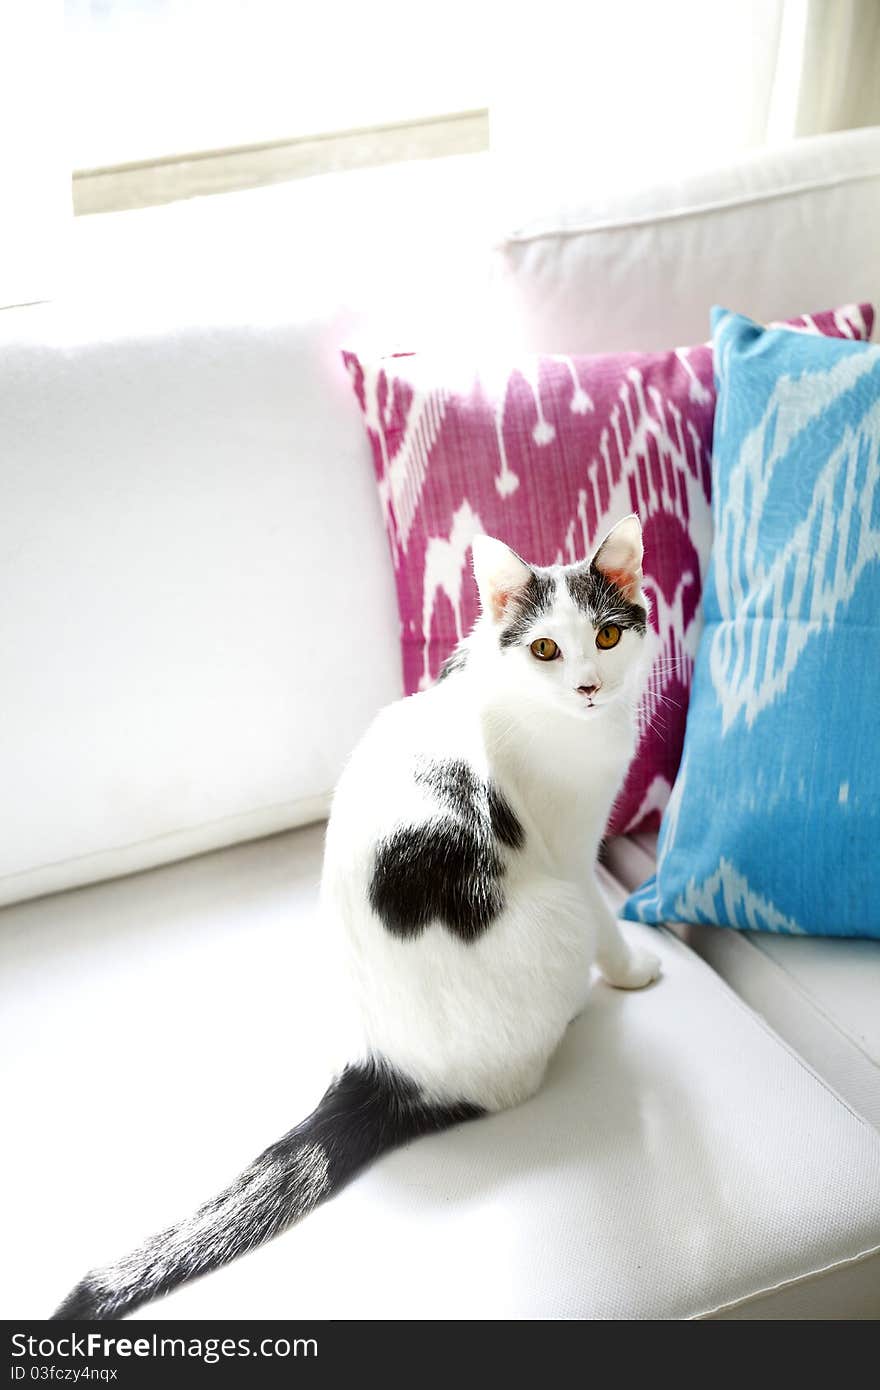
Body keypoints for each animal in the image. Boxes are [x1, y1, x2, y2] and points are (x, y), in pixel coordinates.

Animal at [53, 517, 658, 1317]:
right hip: (553, 918)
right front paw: (632, 968)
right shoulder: (572, 853)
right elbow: (605, 915)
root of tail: (393, 1070)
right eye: (545, 650)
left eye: (608, 636)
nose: (589, 686)